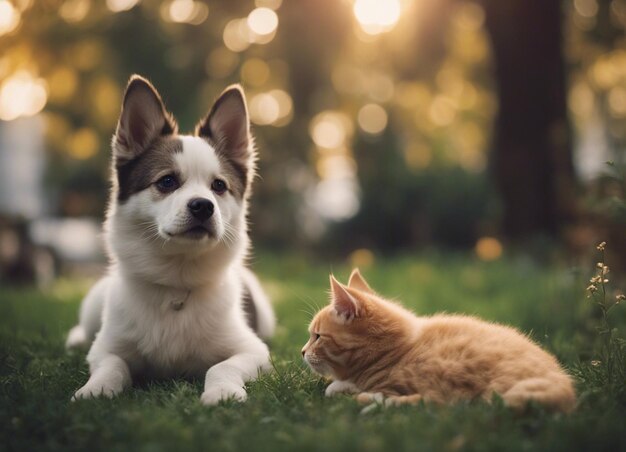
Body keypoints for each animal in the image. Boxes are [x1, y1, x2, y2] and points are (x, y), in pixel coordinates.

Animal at [64, 76, 276, 404]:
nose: (203, 206)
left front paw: (223, 391)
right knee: (83, 331)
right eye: (167, 181)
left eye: (219, 186)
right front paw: (96, 389)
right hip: (93, 304)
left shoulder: (254, 350)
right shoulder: (104, 349)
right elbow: (112, 365)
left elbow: (221, 366)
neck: (176, 282)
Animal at [302, 268, 576, 414]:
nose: (302, 352)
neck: (395, 350)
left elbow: (335, 389)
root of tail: (564, 387)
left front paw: (356, 393)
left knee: (442, 405)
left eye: (317, 336)